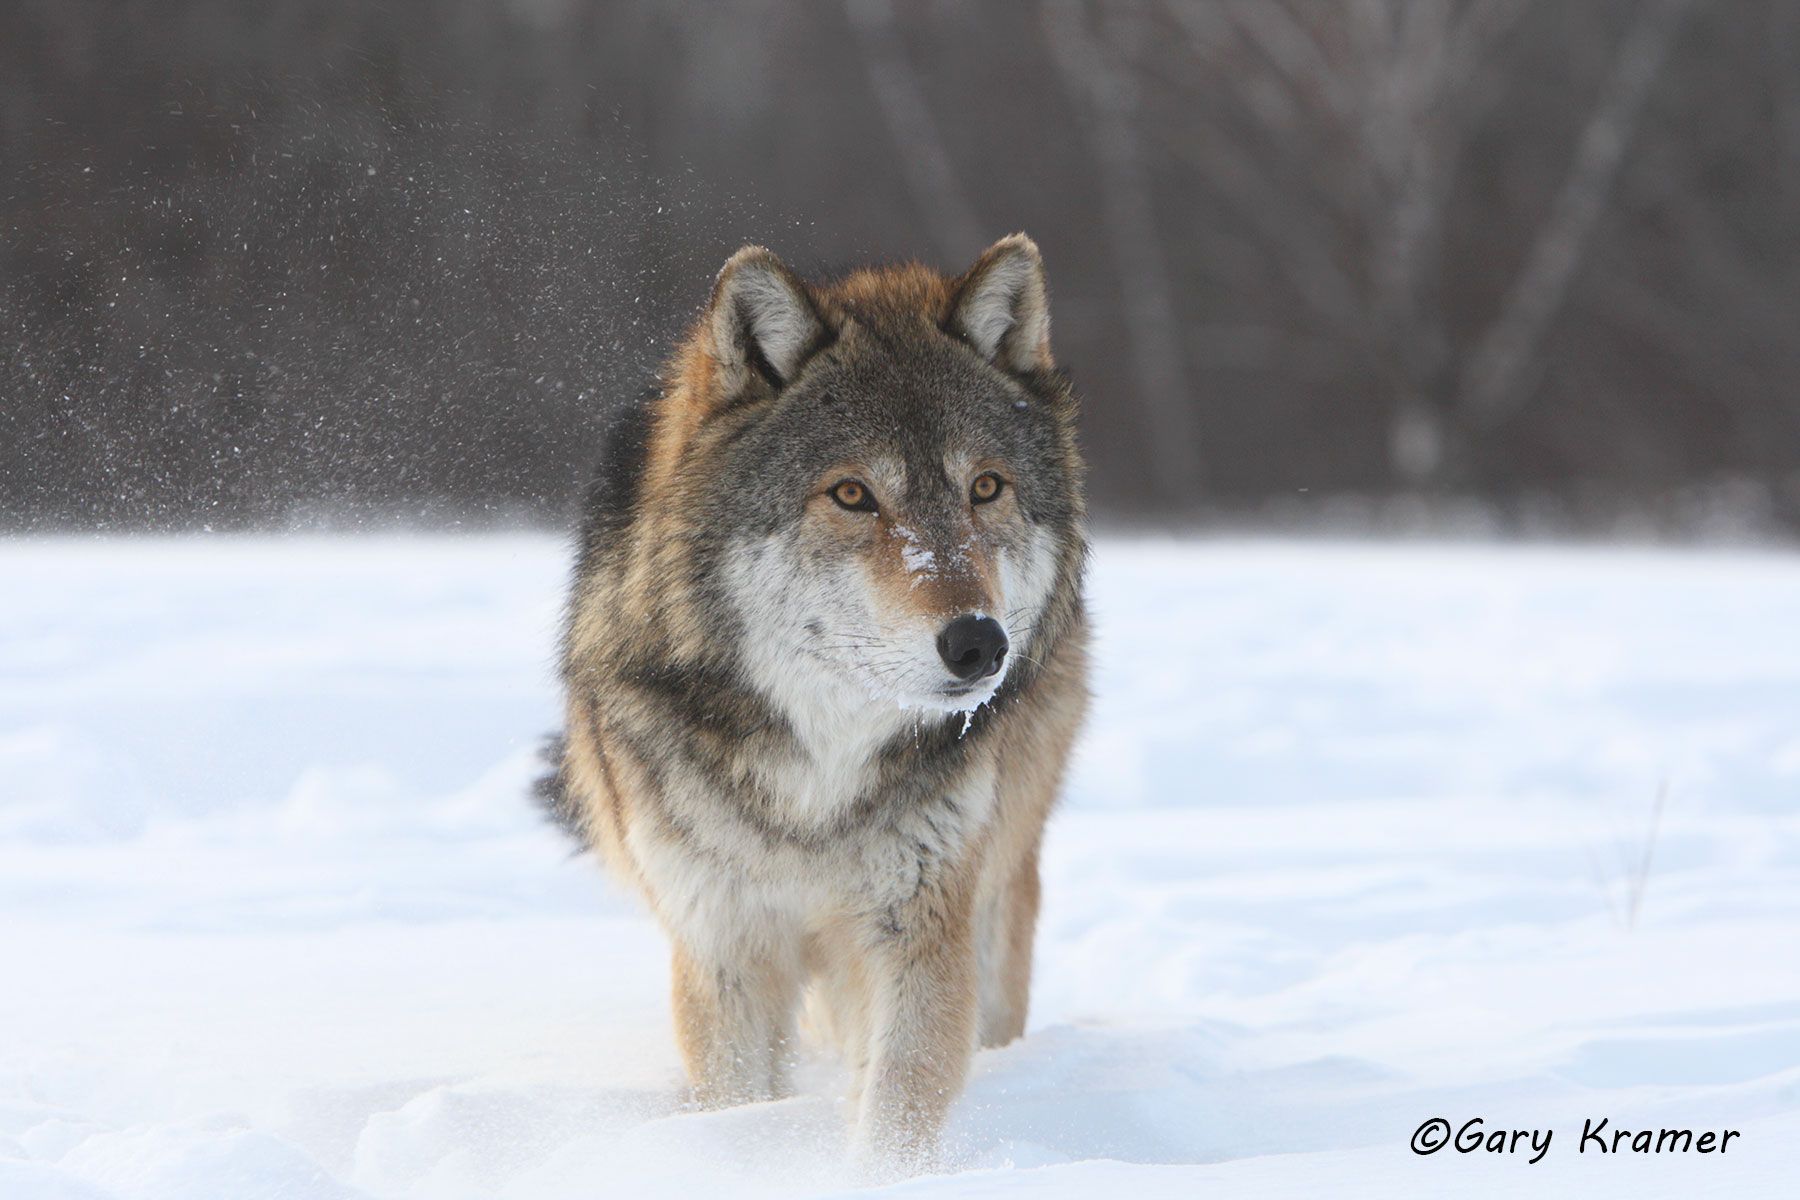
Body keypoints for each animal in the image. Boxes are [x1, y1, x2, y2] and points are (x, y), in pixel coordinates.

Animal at [537, 234, 1089, 1167]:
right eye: (852, 494)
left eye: (985, 488)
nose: (980, 644)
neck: (819, 776)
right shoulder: (722, 945)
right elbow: (735, 1099)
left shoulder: (918, 934)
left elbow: (896, 1107)